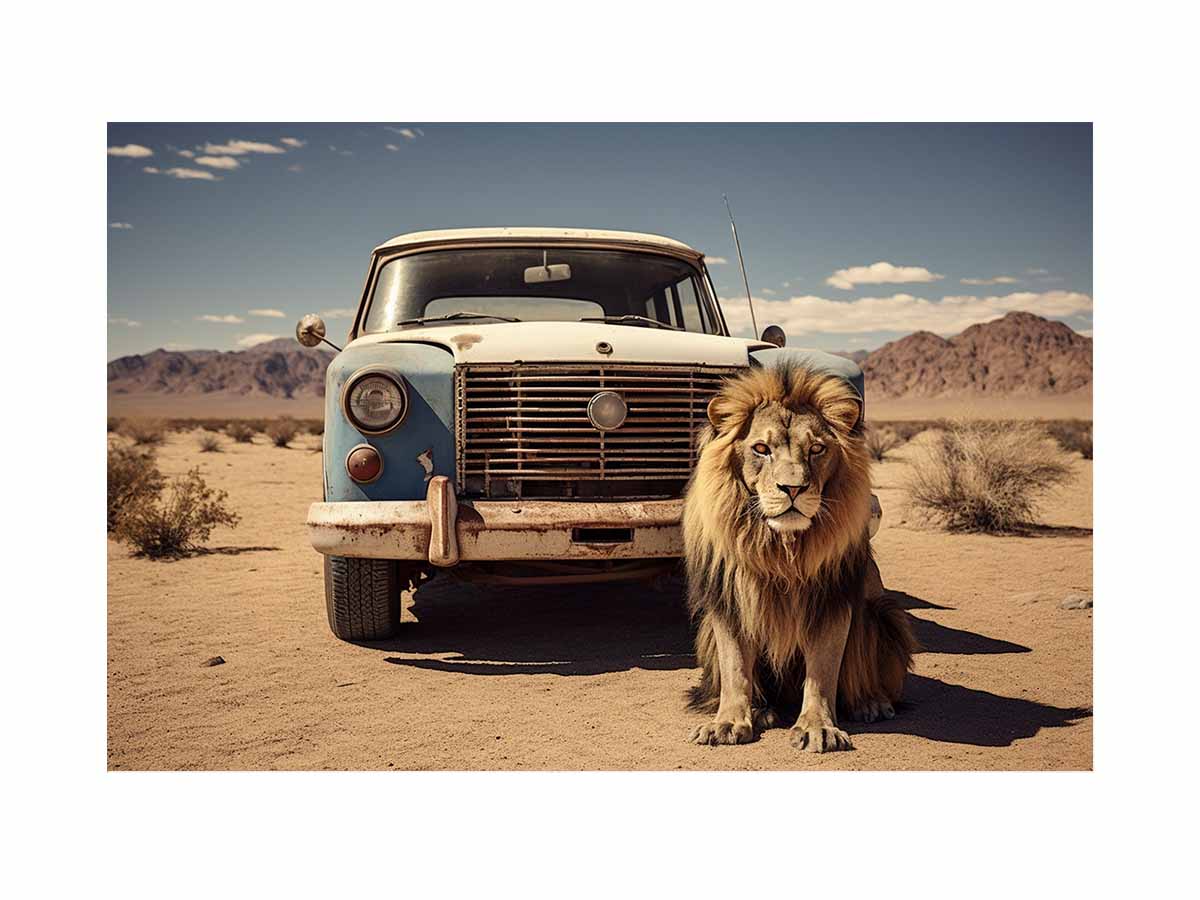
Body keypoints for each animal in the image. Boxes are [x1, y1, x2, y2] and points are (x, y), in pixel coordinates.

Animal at [682, 361, 916, 752]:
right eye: (761, 448)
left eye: (817, 449)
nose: (792, 488)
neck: (784, 547)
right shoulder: (731, 603)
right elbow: (735, 670)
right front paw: (728, 723)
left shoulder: (832, 602)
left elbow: (822, 672)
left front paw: (817, 728)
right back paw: (762, 709)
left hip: (881, 614)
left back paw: (871, 703)